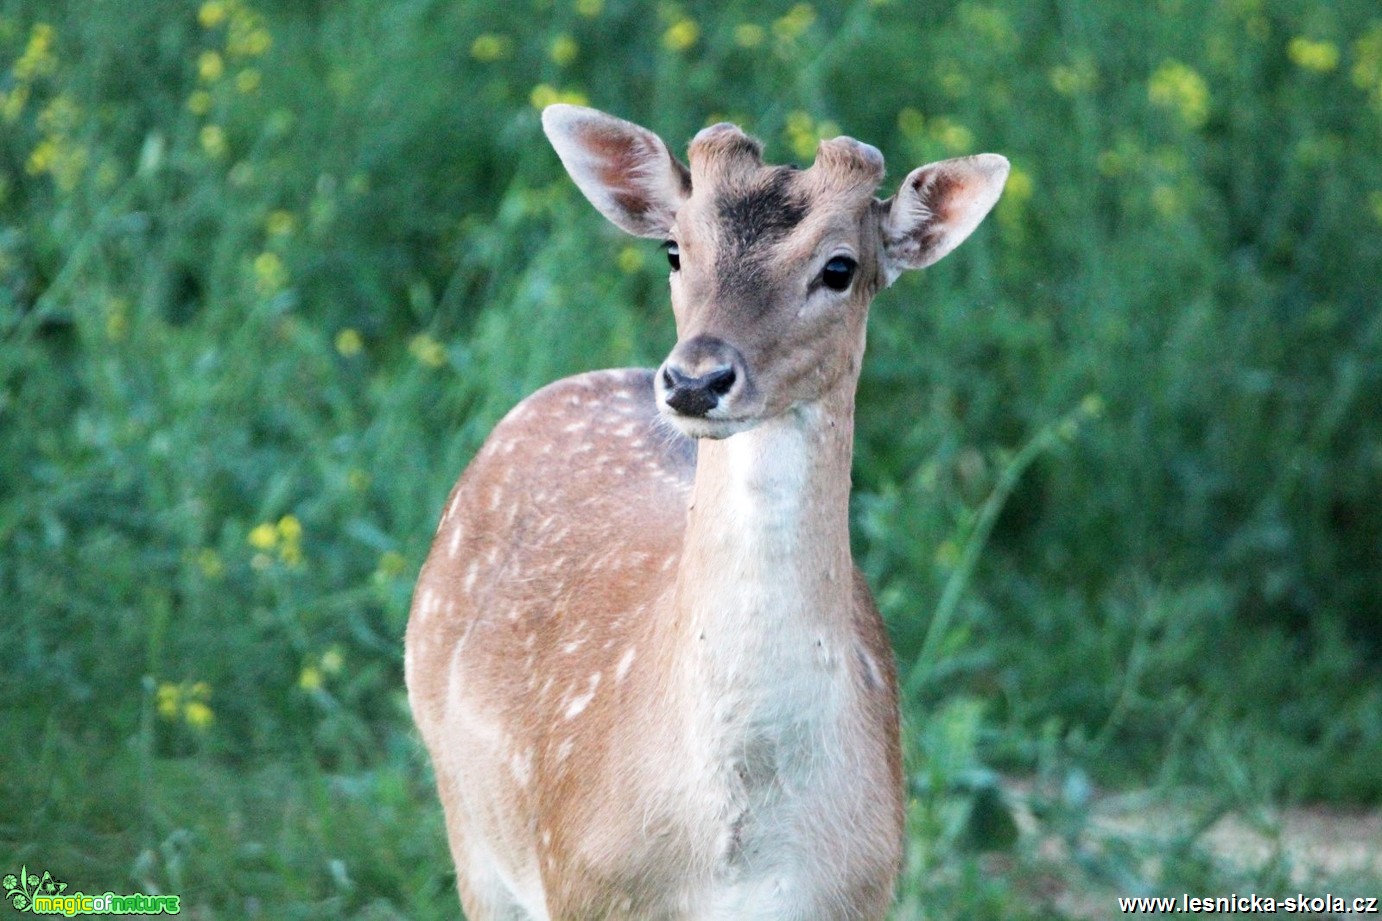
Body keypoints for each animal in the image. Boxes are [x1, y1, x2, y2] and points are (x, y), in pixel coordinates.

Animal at [403, 103, 1011, 912]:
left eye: (840, 267)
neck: (730, 853)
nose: (695, 379)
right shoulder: (580, 877)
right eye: (673, 249)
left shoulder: (864, 887)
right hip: (467, 822)